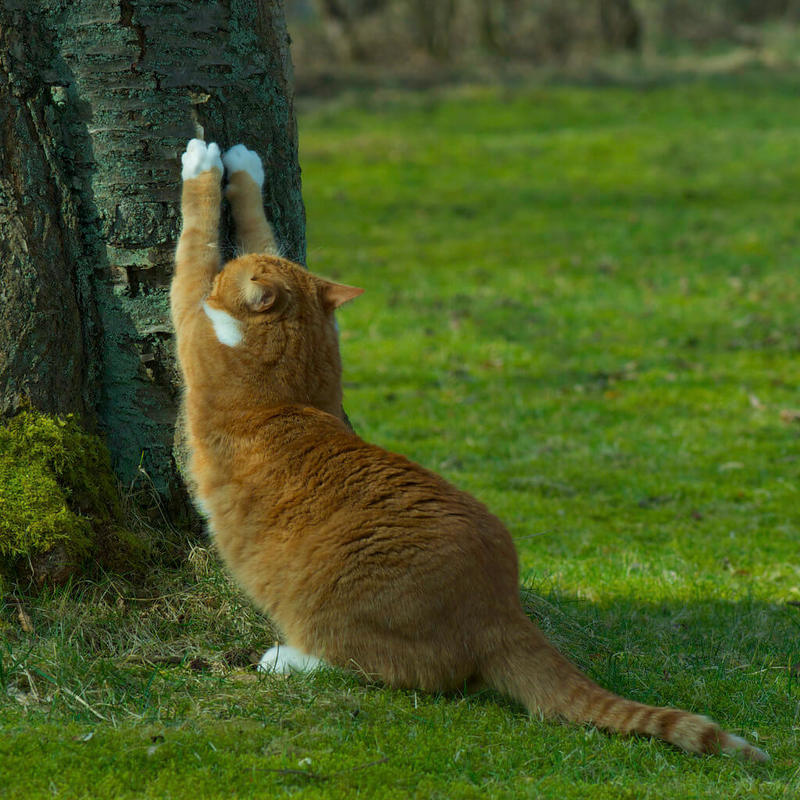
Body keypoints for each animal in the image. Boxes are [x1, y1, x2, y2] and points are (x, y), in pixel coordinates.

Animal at [170, 139, 768, 764]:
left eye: (225, 280)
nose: (226, 282)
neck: (290, 387)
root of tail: (500, 609)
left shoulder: (191, 316)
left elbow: (195, 246)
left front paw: (203, 166)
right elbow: (263, 229)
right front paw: (244, 169)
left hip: (338, 620)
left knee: (398, 672)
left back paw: (287, 660)